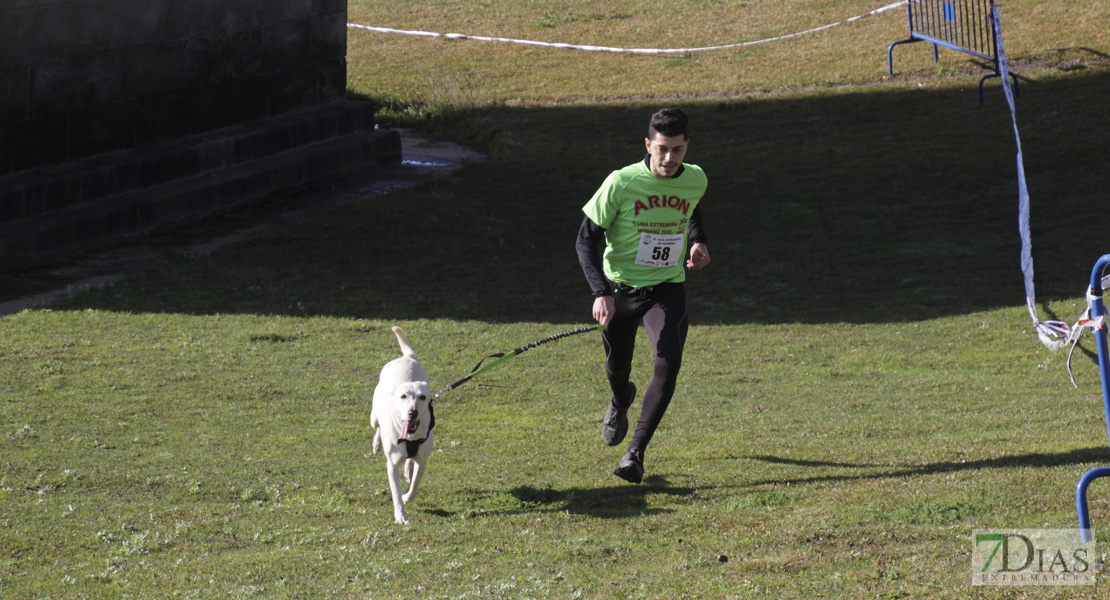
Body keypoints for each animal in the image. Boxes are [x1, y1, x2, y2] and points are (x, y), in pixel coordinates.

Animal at [368, 326, 428, 521]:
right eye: (403, 396)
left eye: (423, 397)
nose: (412, 412)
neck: (408, 438)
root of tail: (407, 358)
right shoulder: (392, 464)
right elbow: (395, 492)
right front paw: (400, 516)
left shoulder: (422, 459)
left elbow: (415, 484)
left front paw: (408, 496)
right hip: (374, 416)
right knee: (377, 426)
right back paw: (377, 443)